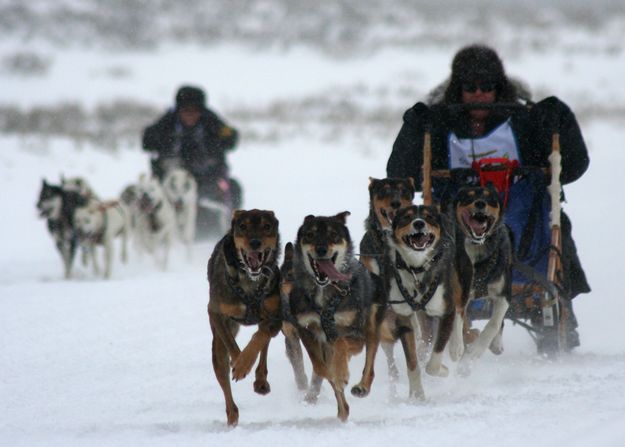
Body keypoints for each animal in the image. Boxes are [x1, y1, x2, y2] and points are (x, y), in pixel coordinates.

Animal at [206, 209, 282, 428]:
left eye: (267, 226)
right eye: (243, 226)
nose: (255, 242)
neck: (250, 282)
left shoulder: (276, 316)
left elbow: (260, 337)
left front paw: (246, 363)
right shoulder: (215, 312)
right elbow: (232, 345)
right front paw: (239, 363)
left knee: (263, 346)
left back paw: (261, 381)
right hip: (217, 346)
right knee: (223, 374)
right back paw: (232, 416)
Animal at [282, 212, 380, 422]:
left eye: (333, 235)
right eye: (310, 235)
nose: (321, 250)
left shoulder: (354, 333)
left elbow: (341, 344)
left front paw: (341, 372)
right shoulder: (306, 330)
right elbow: (320, 366)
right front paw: (331, 377)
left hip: (370, 326)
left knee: (370, 358)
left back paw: (362, 386)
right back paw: (342, 411)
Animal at [386, 205, 464, 400]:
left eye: (429, 217)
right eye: (407, 217)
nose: (419, 223)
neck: (417, 269)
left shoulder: (445, 311)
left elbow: (432, 364)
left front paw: (443, 370)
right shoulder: (403, 317)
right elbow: (412, 364)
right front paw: (416, 394)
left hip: (461, 282)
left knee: (461, 309)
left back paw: (456, 346)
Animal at [454, 184, 512, 370]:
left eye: (490, 198)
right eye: (469, 197)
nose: (480, 203)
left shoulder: (504, 294)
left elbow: (494, 324)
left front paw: (475, 351)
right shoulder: (459, 291)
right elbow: (457, 317)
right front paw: (456, 347)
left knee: (499, 322)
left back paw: (495, 344)